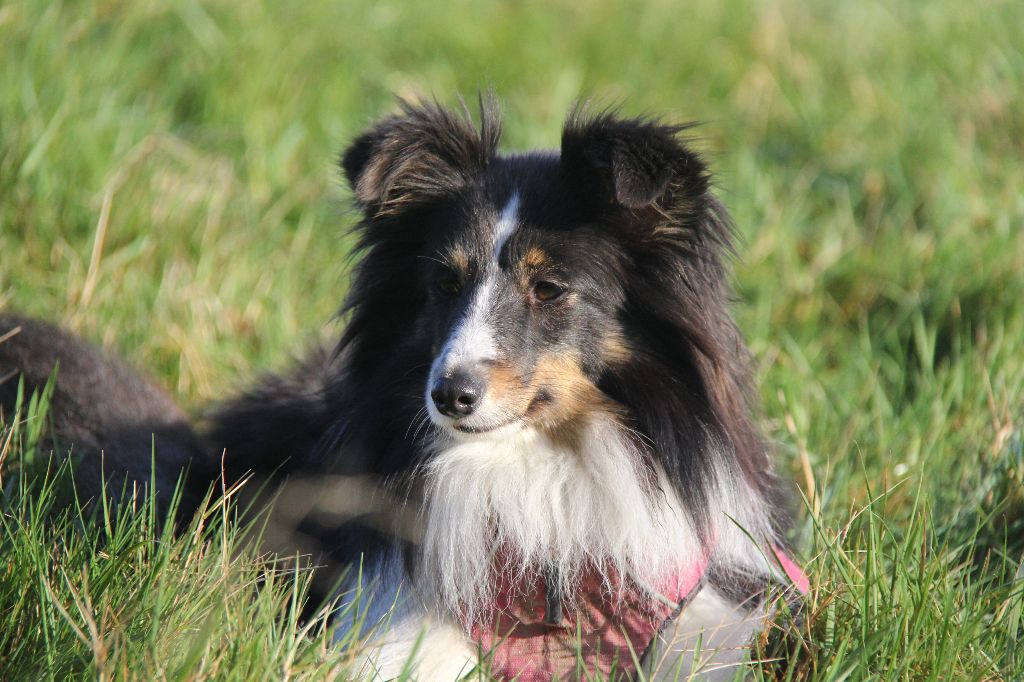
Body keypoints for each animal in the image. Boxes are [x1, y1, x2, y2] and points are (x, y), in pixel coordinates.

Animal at [4, 98, 811, 675]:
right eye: (442, 284)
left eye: (549, 288)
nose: (449, 396)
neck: (536, 471)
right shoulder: (402, 614)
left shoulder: (709, 619)